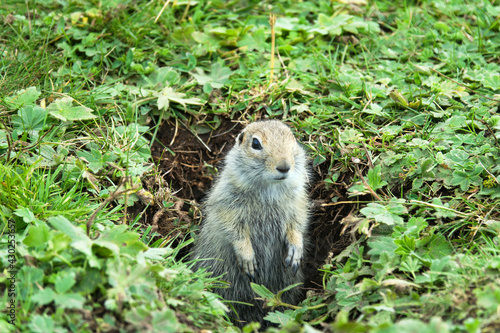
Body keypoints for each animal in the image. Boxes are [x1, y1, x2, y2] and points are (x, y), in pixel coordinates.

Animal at [191, 120, 308, 326]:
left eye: (293, 140)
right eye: (255, 143)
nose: (284, 167)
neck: (269, 188)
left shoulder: (297, 204)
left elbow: (296, 226)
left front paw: (295, 253)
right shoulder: (228, 206)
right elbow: (234, 232)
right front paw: (248, 261)